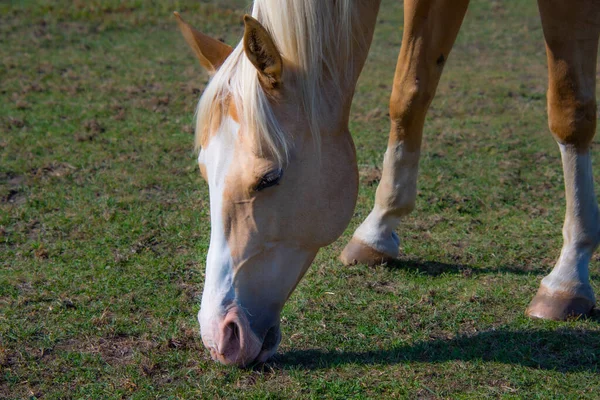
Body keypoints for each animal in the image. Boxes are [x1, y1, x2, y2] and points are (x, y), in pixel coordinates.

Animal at [175, 0, 600, 368]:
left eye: (269, 178)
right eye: (205, 173)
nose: (219, 336)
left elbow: (570, 113)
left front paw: (568, 276)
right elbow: (409, 93)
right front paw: (377, 229)